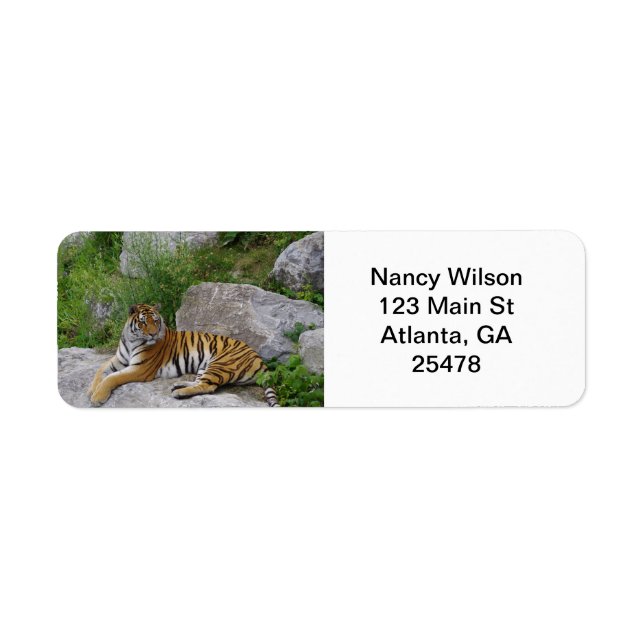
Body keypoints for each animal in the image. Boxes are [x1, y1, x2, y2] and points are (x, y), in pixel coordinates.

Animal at [88, 304, 279, 407]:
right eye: (143, 323)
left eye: (155, 321)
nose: (153, 334)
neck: (131, 340)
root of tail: (258, 358)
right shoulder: (118, 359)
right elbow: (101, 370)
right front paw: (91, 390)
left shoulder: (140, 369)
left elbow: (112, 378)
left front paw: (97, 397)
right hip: (205, 366)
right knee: (200, 382)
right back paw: (178, 386)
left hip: (220, 364)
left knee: (208, 387)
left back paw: (179, 393)